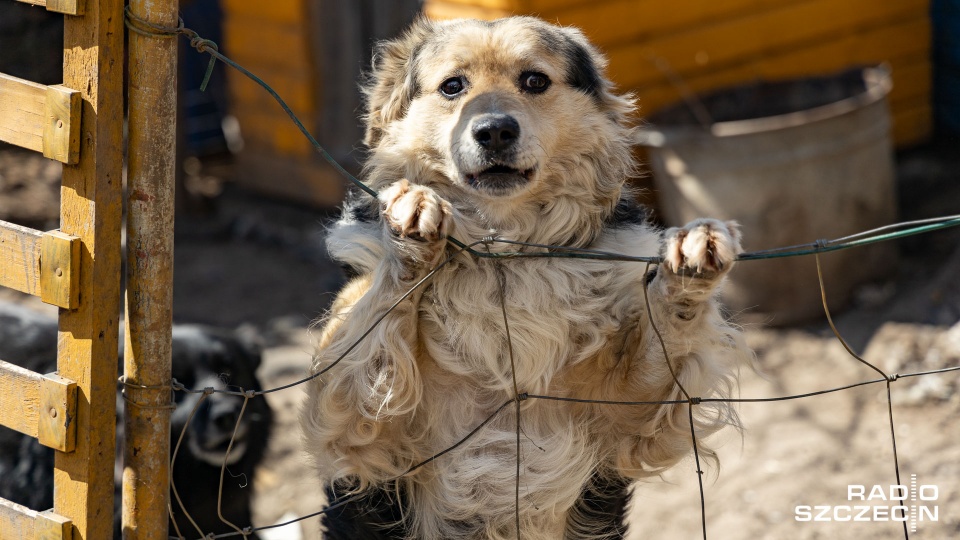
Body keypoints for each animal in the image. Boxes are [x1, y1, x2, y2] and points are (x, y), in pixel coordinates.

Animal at [304, 16, 752, 540]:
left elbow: (666, 330)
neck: (504, 258)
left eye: (535, 81)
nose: (495, 130)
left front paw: (687, 264)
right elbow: (375, 311)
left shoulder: (628, 416)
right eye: (453, 86)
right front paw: (410, 225)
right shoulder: (359, 441)